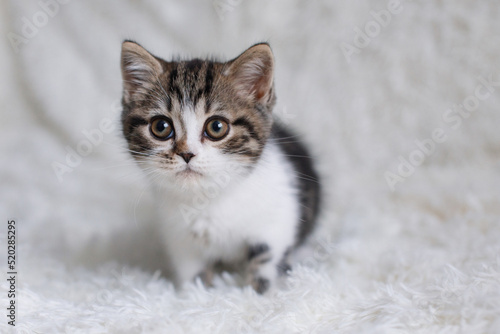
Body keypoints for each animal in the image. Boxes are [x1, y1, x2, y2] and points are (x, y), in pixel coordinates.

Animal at [122, 40, 320, 294]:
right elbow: (190, 268)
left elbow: (266, 256)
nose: (187, 153)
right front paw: (196, 291)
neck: (207, 199)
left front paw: (260, 289)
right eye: (161, 127)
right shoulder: (179, 238)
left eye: (217, 127)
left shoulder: (278, 219)